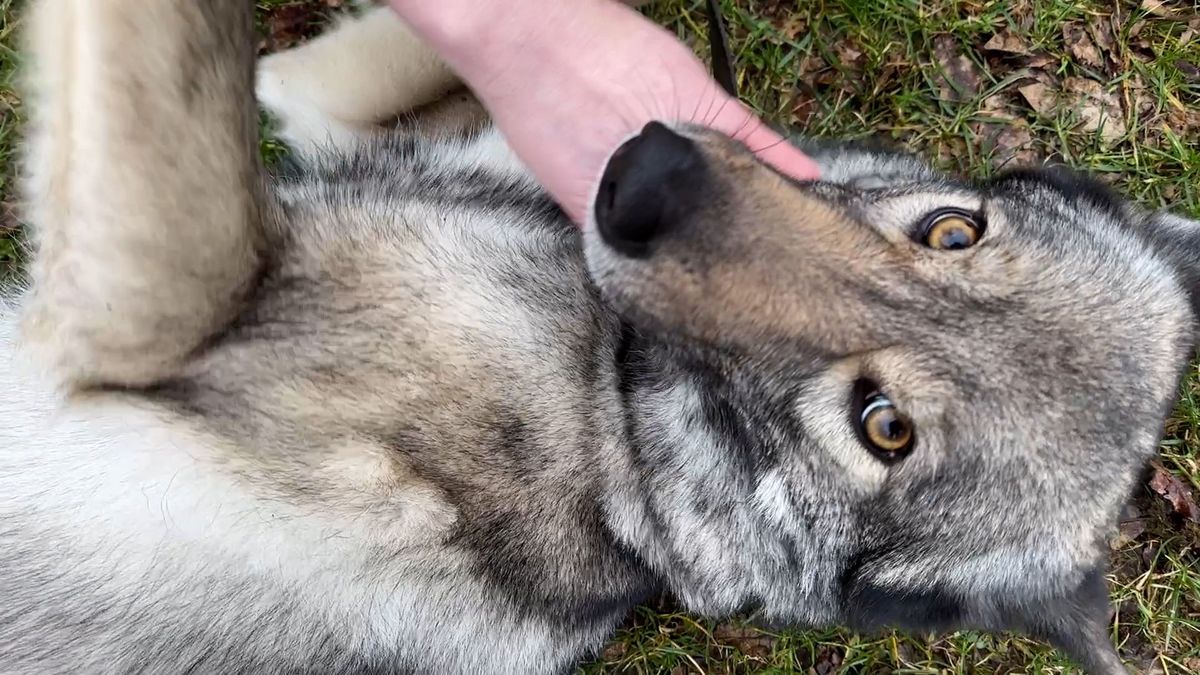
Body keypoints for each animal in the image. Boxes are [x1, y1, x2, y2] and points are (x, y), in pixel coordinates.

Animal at [1, 1, 1197, 674]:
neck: (617, 402)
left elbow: (179, 68)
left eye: (884, 425)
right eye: (952, 229)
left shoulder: (148, 293)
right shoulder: (348, 112)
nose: (644, 175)